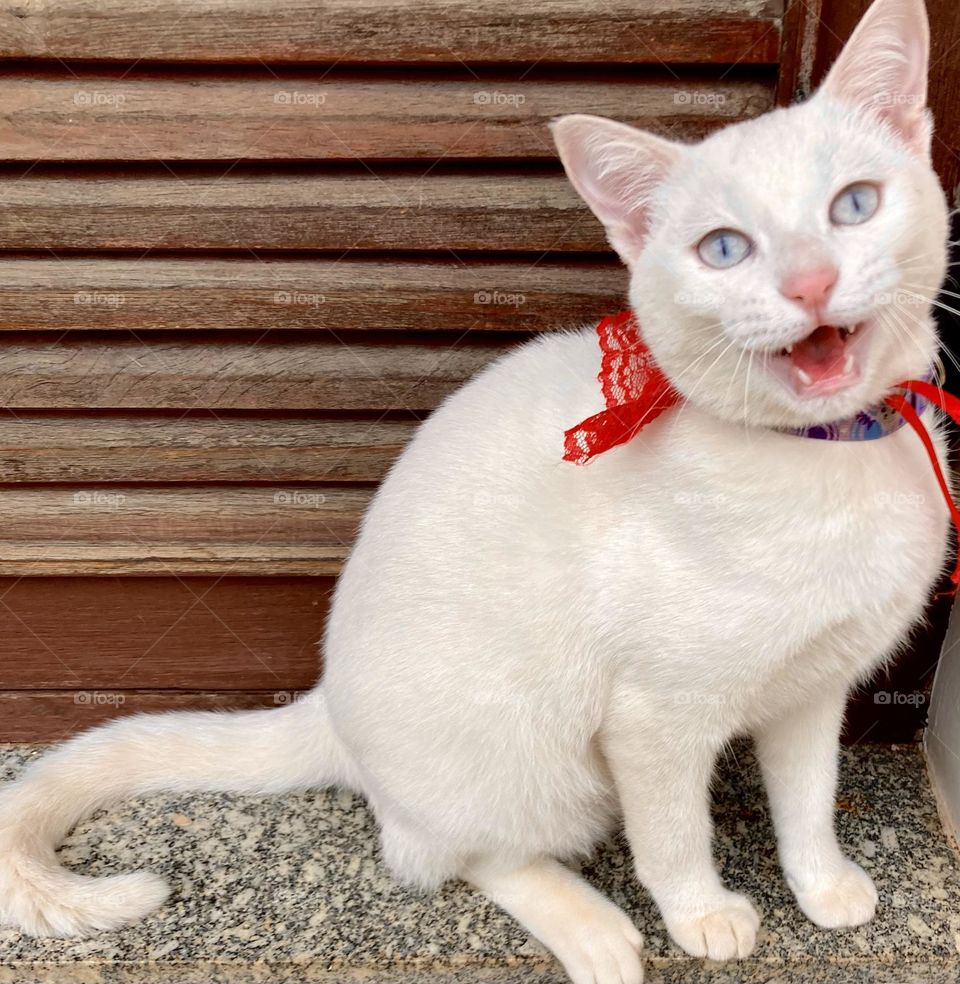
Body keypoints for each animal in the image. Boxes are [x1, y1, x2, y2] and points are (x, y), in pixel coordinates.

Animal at [0, 1, 948, 984]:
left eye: (854, 204)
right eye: (723, 250)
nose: (810, 282)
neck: (823, 467)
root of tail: (330, 706)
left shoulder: (816, 690)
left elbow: (808, 800)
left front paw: (823, 883)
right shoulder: (653, 721)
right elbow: (673, 835)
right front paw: (702, 914)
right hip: (541, 762)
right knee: (449, 851)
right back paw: (596, 929)